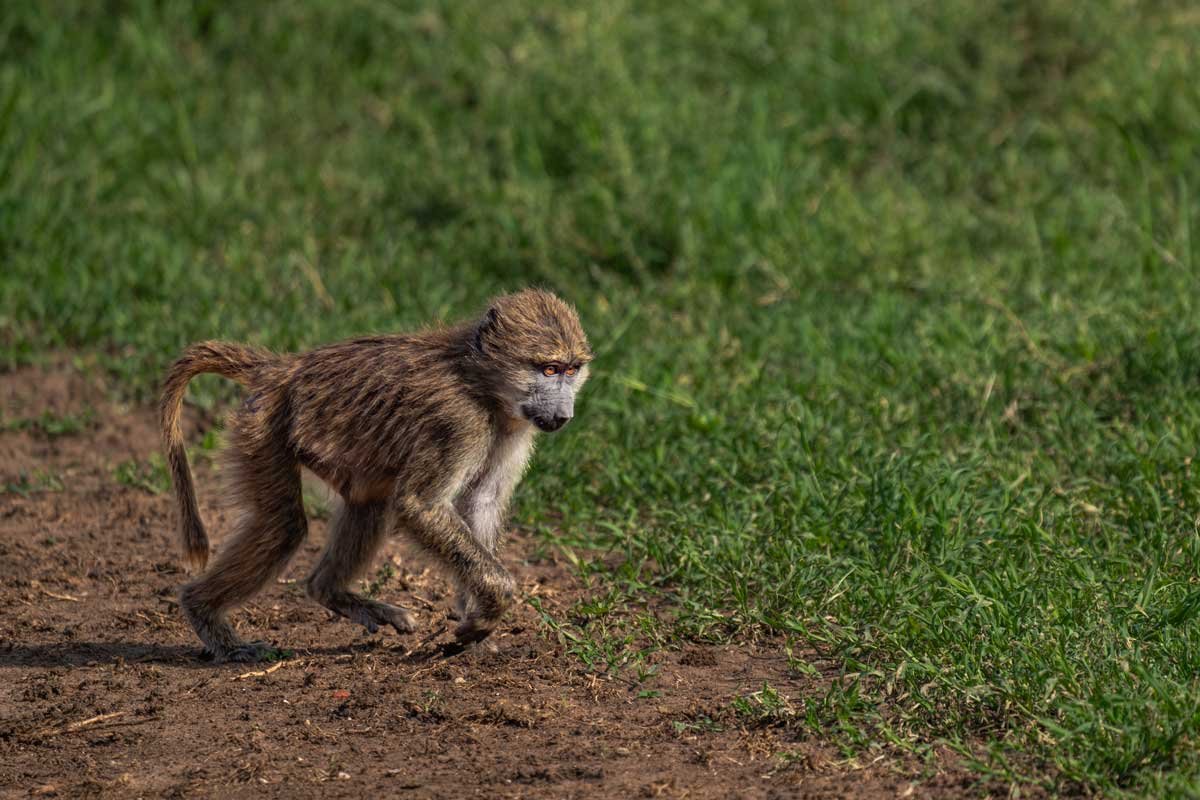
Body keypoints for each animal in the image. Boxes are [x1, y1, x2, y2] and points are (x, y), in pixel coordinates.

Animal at [158, 289, 591, 662]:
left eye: (572, 371)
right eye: (548, 369)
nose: (564, 415)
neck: (482, 385)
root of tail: (281, 369)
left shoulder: (515, 429)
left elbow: (482, 503)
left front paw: (478, 623)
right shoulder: (458, 422)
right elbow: (420, 505)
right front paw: (489, 611)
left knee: (368, 504)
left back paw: (331, 592)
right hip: (263, 428)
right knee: (284, 526)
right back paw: (210, 622)